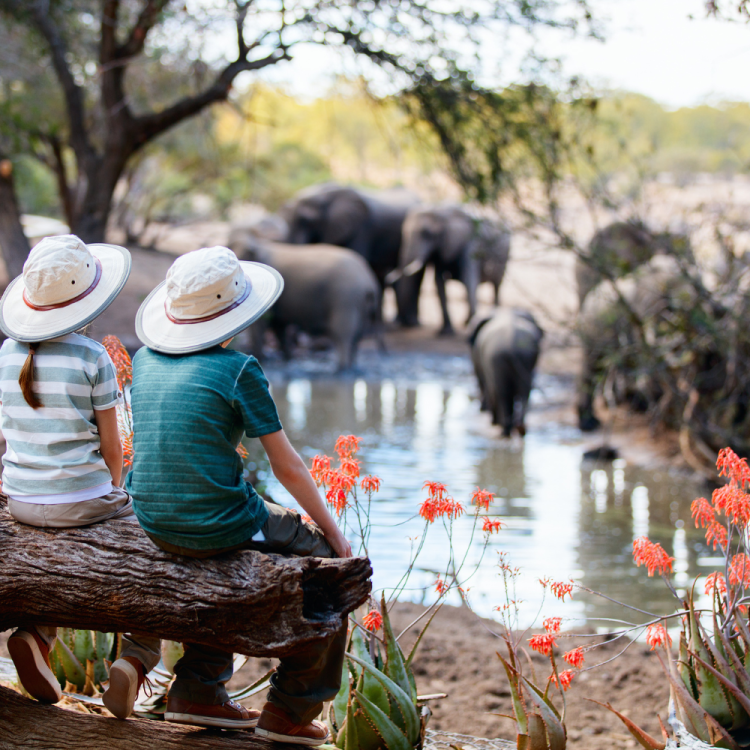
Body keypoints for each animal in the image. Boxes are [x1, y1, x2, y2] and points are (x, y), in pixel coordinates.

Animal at [229, 230, 382, 371]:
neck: (258, 243)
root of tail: (369, 281)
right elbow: (278, 326)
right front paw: (288, 359)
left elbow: (262, 325)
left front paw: (262, 359)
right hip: (360, 303)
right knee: (358, 334)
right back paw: (352, 367)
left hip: (345, 298)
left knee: (342, 333)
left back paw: (341, 369)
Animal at [389, 206, 511, 334]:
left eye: (427, 234)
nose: (388, 278)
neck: (442, 213)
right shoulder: (441, 250)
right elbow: (439, 283)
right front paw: (446, 332)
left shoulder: (471, 245)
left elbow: (469, 280)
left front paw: (469, 325)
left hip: (504, 256)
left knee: (496, 285)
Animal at [468, 308, 544, 437]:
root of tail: (512, 345)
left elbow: (488, 384)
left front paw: (493, 421)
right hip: (525, 358)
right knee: (524, 392)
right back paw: (520, 429)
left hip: (496, 358)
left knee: (502, 392)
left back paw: (504, 430)